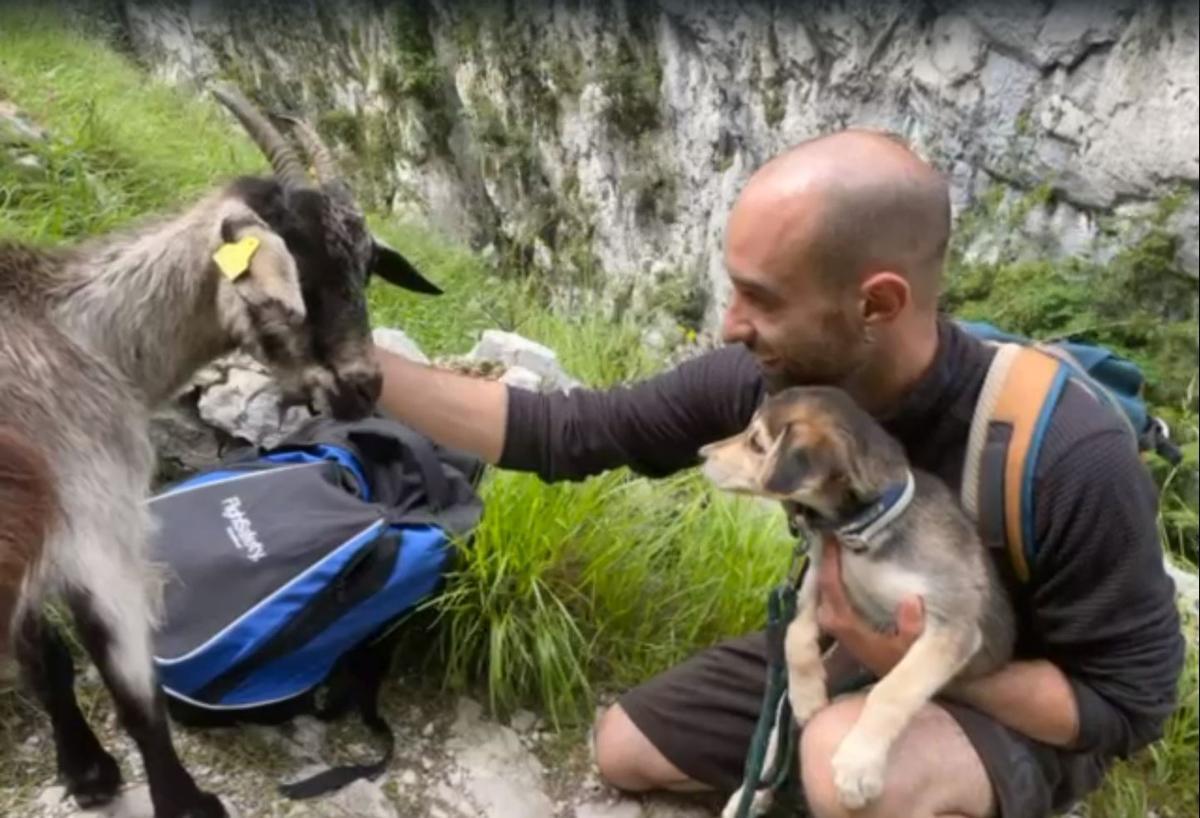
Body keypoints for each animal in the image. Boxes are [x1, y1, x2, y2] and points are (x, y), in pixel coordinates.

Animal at [0, 84, 441, 815]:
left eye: (366, 267)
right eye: (295, 266)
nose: (363, 385)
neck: (84, 337)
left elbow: (46, 657)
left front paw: (87, 772)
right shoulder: (100, 521)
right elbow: (133, 689)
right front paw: (185, 802)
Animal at [700, 386, 1017, 810]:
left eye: (756, 443)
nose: (702, 453)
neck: (861, 532)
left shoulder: (953, 625)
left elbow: (894, 689)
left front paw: (858, 764)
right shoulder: (817, 581)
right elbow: (795, 636)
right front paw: (808, 696)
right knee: (775, 731)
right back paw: (748, 797)